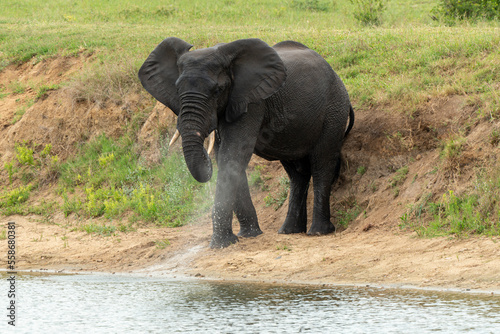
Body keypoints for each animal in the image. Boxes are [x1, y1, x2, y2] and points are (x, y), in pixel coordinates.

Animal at [139, 37, 354, 248]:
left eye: (217, 90)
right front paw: (249, 235)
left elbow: (233, 154)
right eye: (177, 89)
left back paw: (318, 232)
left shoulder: (251, 102)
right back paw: (289, 230)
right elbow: (226, 157)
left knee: (322, 163)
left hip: (334, 110)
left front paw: (220, 245)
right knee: (297, 172)